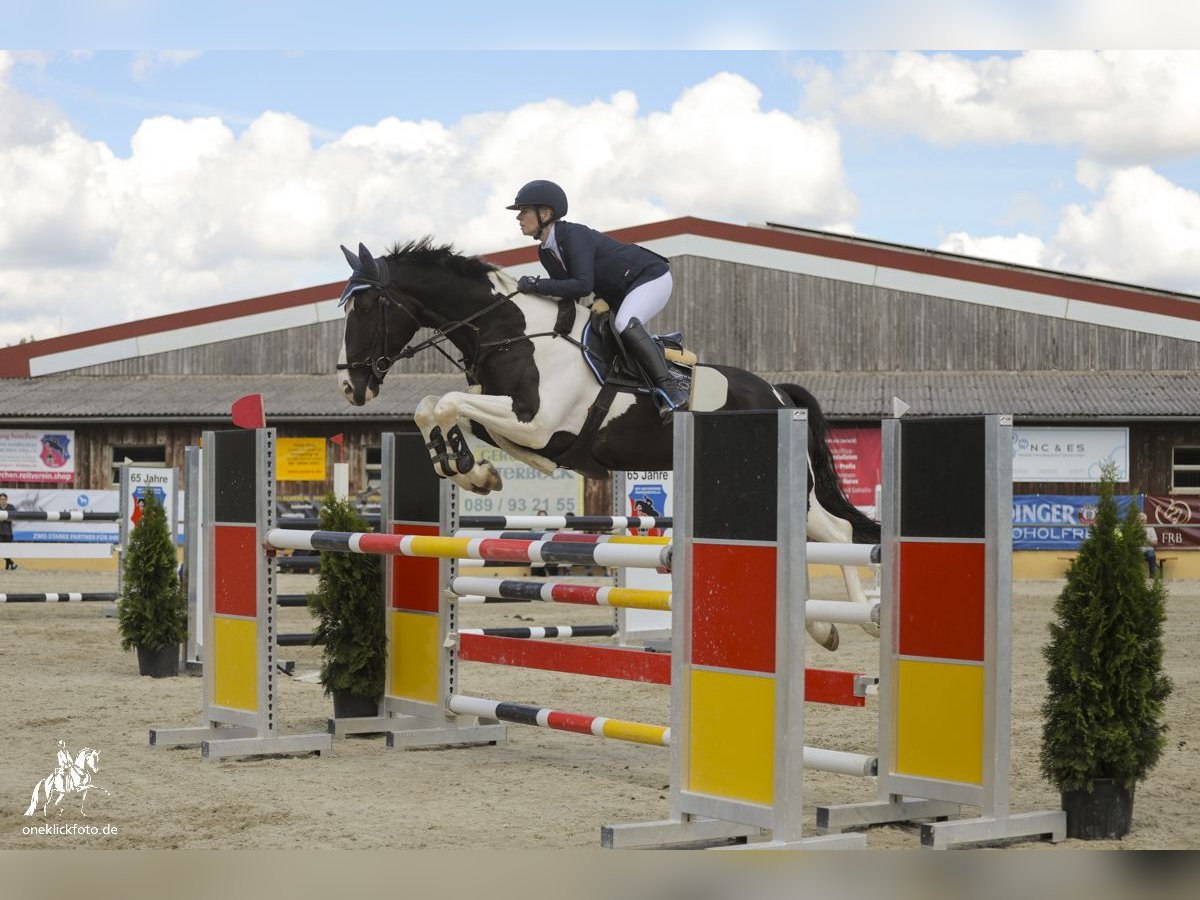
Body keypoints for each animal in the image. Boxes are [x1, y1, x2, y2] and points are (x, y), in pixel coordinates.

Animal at [338, 240, 883, 648]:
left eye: (365, 306)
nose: (350, 386)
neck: (510, 331)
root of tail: (776, 391)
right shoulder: (510, 421)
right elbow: (432, 405)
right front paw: (471, 470)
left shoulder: (535, 422)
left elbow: (447, 400)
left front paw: (469, 468)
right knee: (821, 534)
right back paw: (821, 626)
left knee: (835, 532)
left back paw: (851, 622)